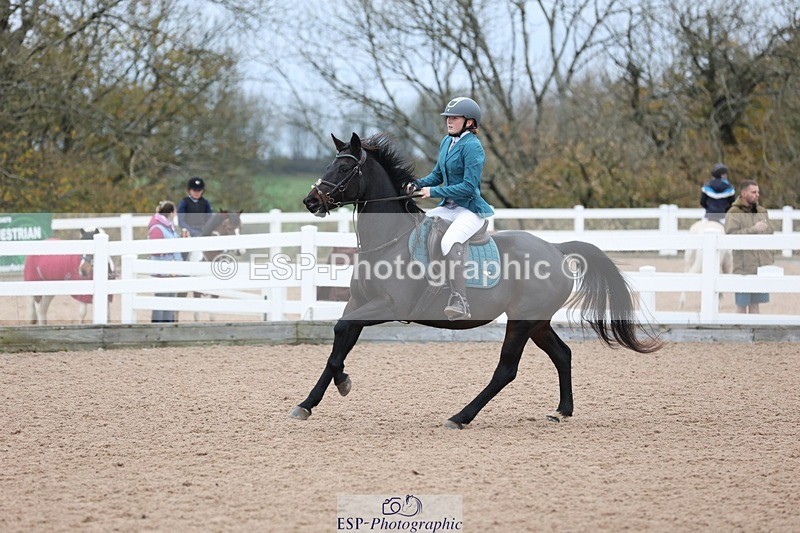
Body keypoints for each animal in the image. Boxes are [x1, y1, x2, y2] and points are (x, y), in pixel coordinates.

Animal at [290, 132, 661, 429]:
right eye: (329, 165)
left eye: (344, 170)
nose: (310, 201)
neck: (388, 240)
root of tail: (555, 248)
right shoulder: (359, 303)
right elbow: (338, 344)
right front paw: (310, 402)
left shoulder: (389, 307)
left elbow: (341, 332)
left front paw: (341, 383)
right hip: (537, 322)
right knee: (562, 354)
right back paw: (561, 411)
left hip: (521, 322)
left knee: (506, 370)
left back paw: (460, 417)